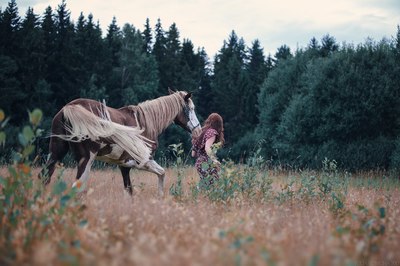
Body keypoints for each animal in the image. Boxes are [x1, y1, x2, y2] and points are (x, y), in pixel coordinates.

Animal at [39, 89, 202, 195]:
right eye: (191, 108)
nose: (198, 130)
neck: (146, 122)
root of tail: (69, 108)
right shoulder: (142, 161)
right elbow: (161, 173)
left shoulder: (124, 166)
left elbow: (129, 191)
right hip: (86, 159)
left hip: (55, 153)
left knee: (45, 177)